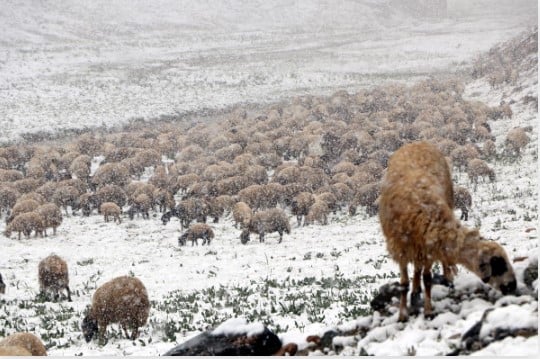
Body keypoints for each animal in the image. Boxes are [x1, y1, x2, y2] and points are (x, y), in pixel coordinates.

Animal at [378, 141, 516, 324]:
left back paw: (429, 287)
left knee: (421, 268)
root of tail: (419, 142)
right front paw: (402, 315)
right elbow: (404, 284)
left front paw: (428, 311)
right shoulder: (401, 249)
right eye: (499, 263)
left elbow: (427, 279)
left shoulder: (429, 247)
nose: (513, 286)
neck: (424, 211)